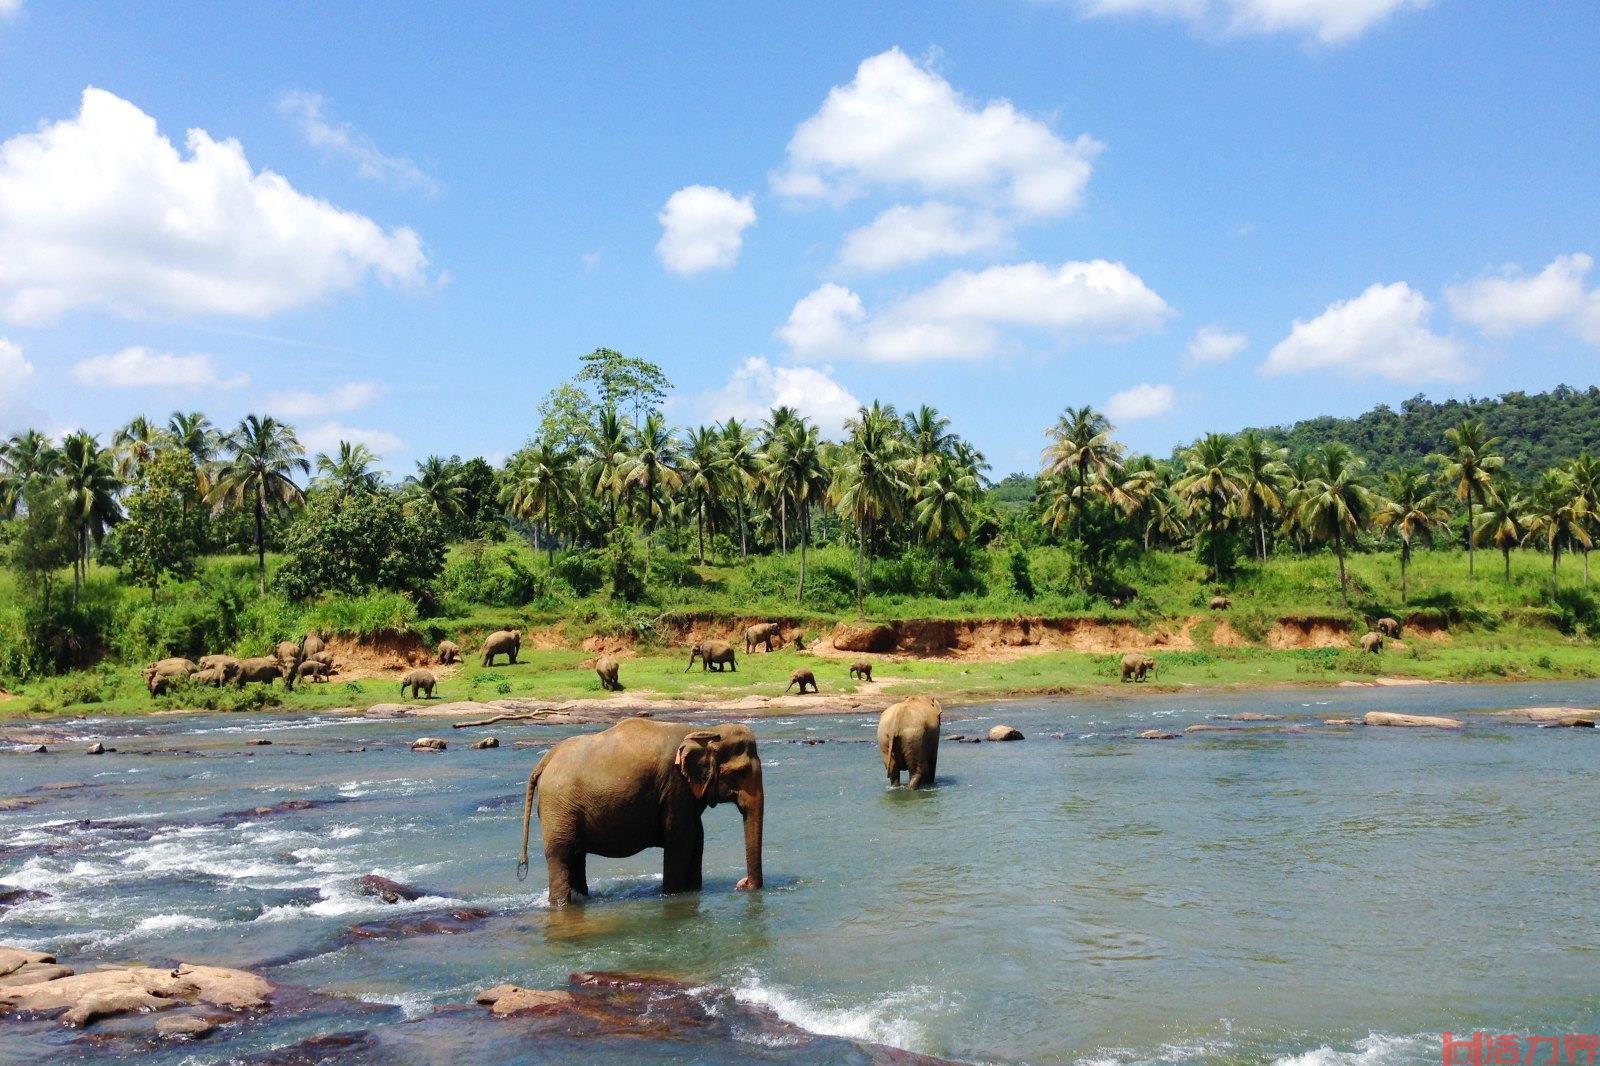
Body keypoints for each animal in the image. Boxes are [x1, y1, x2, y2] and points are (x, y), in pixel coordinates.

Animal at [512, 713, 761, 902]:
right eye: (741, 773)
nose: (742, 883)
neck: (703, 731)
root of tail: (544, 761)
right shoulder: (675, 785)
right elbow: (680, 839)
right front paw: (671, 895)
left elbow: (696, 838)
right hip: (557, 805)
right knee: (560, 855)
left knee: (575, 856)